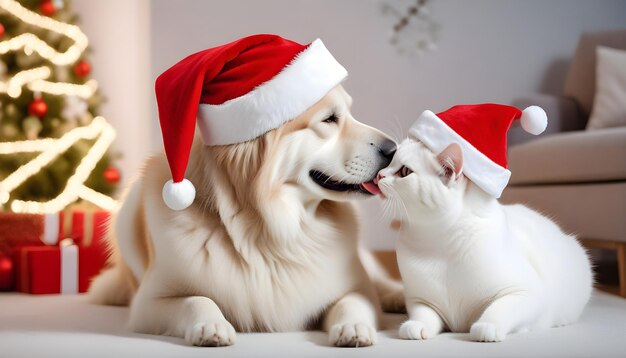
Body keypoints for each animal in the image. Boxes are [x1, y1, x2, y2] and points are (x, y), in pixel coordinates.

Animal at [90, 84, 402, 346]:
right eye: (329, 119)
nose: (394, 149)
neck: (271, 228)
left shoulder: (357, 287)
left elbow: (354, 301)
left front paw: (354, 327)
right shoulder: (148, 303)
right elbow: (196, 300)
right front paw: (211, 325)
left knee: (381, 281)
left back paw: (396, 297)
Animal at [376, 137, 588, 342]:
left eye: (405, 171)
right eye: (390, 160)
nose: (378, 174)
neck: (438, 241)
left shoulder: (527, 292)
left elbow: (500, 307)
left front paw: (488, 326)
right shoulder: (419, 300)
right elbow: (423, 313)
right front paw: (416, 325)